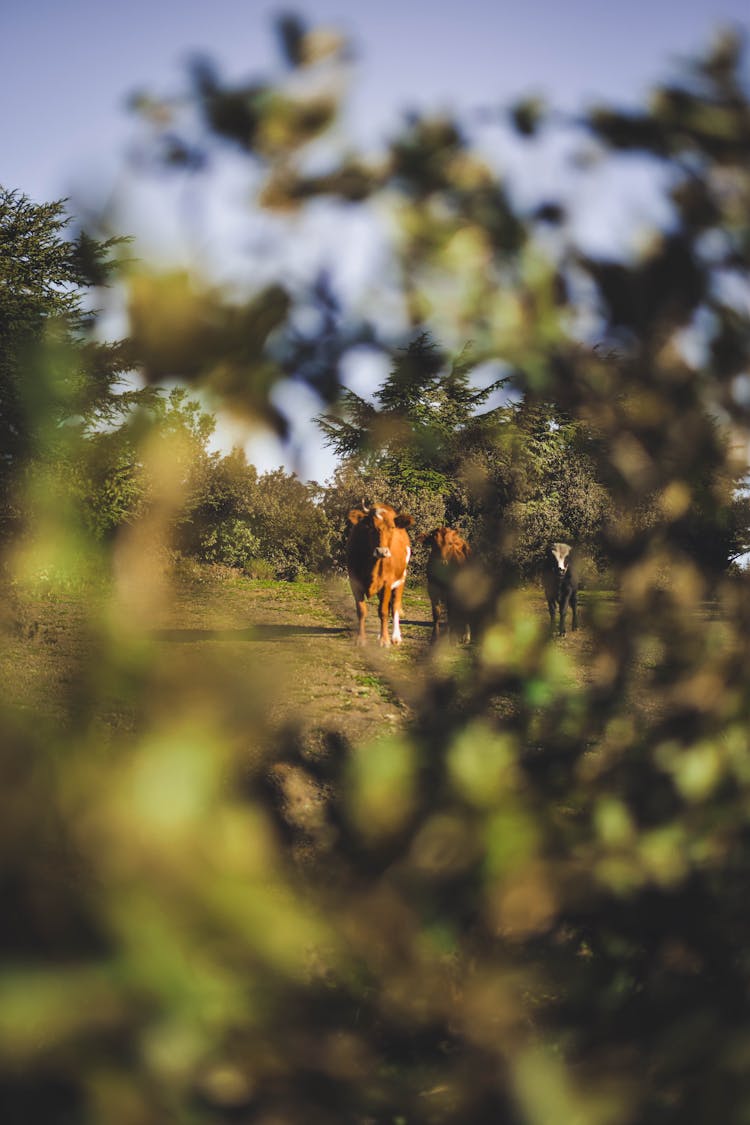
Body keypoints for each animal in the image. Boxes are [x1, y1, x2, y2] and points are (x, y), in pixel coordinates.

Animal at [348, 506, 413, 648]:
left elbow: (383, 612)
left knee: (394, 606)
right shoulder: (354, 581)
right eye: (371, 527)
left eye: (392, 527)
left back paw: (395, 637)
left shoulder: (387, 583)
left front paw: (385, 640)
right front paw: (361, 638)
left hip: (401, 579)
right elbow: (361, 611)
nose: (382, 551)